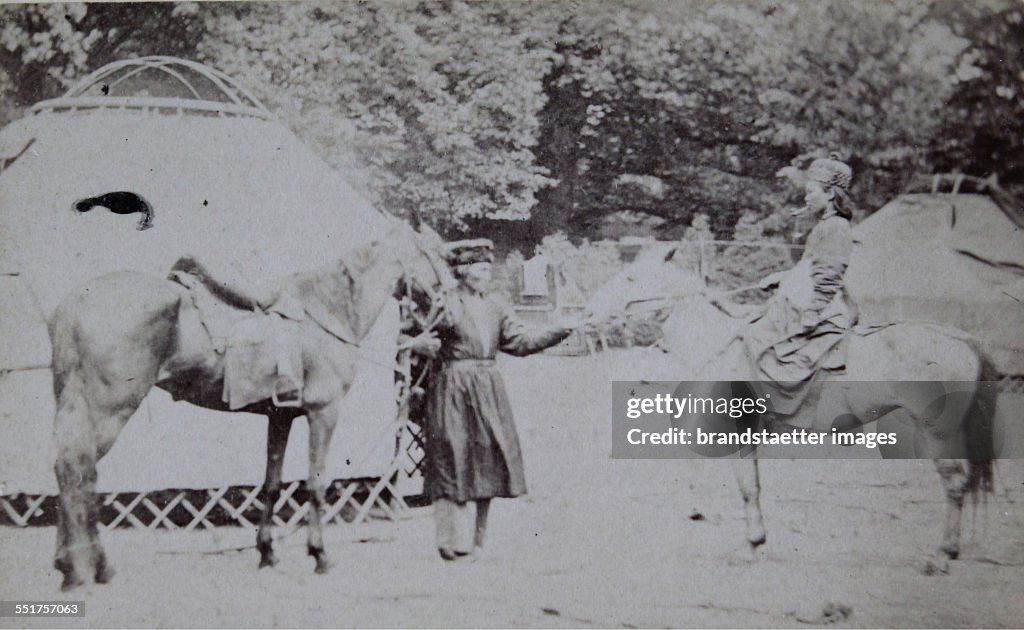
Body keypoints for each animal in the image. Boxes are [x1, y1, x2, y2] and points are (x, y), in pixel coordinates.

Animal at [48, 217, 448, 590]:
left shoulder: (281, 416)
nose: (447, 306)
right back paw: (92, 567)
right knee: (80, 471)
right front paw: (320, 554)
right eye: (438, 255)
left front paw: (267, 551)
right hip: (108, 411)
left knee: (66, 468)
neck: (327, 311)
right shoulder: (323, 412)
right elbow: (315, 484)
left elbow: (272, 483)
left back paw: (68, 565)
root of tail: (75, 302)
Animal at [659, 295, 995, 573]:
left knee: (954, 482)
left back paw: (942, 555)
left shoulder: (739, 436)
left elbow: (748, 489)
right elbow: (753, 486)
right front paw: (756, 543)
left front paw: (752, 544)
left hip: (938, 434)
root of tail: (961, 339)